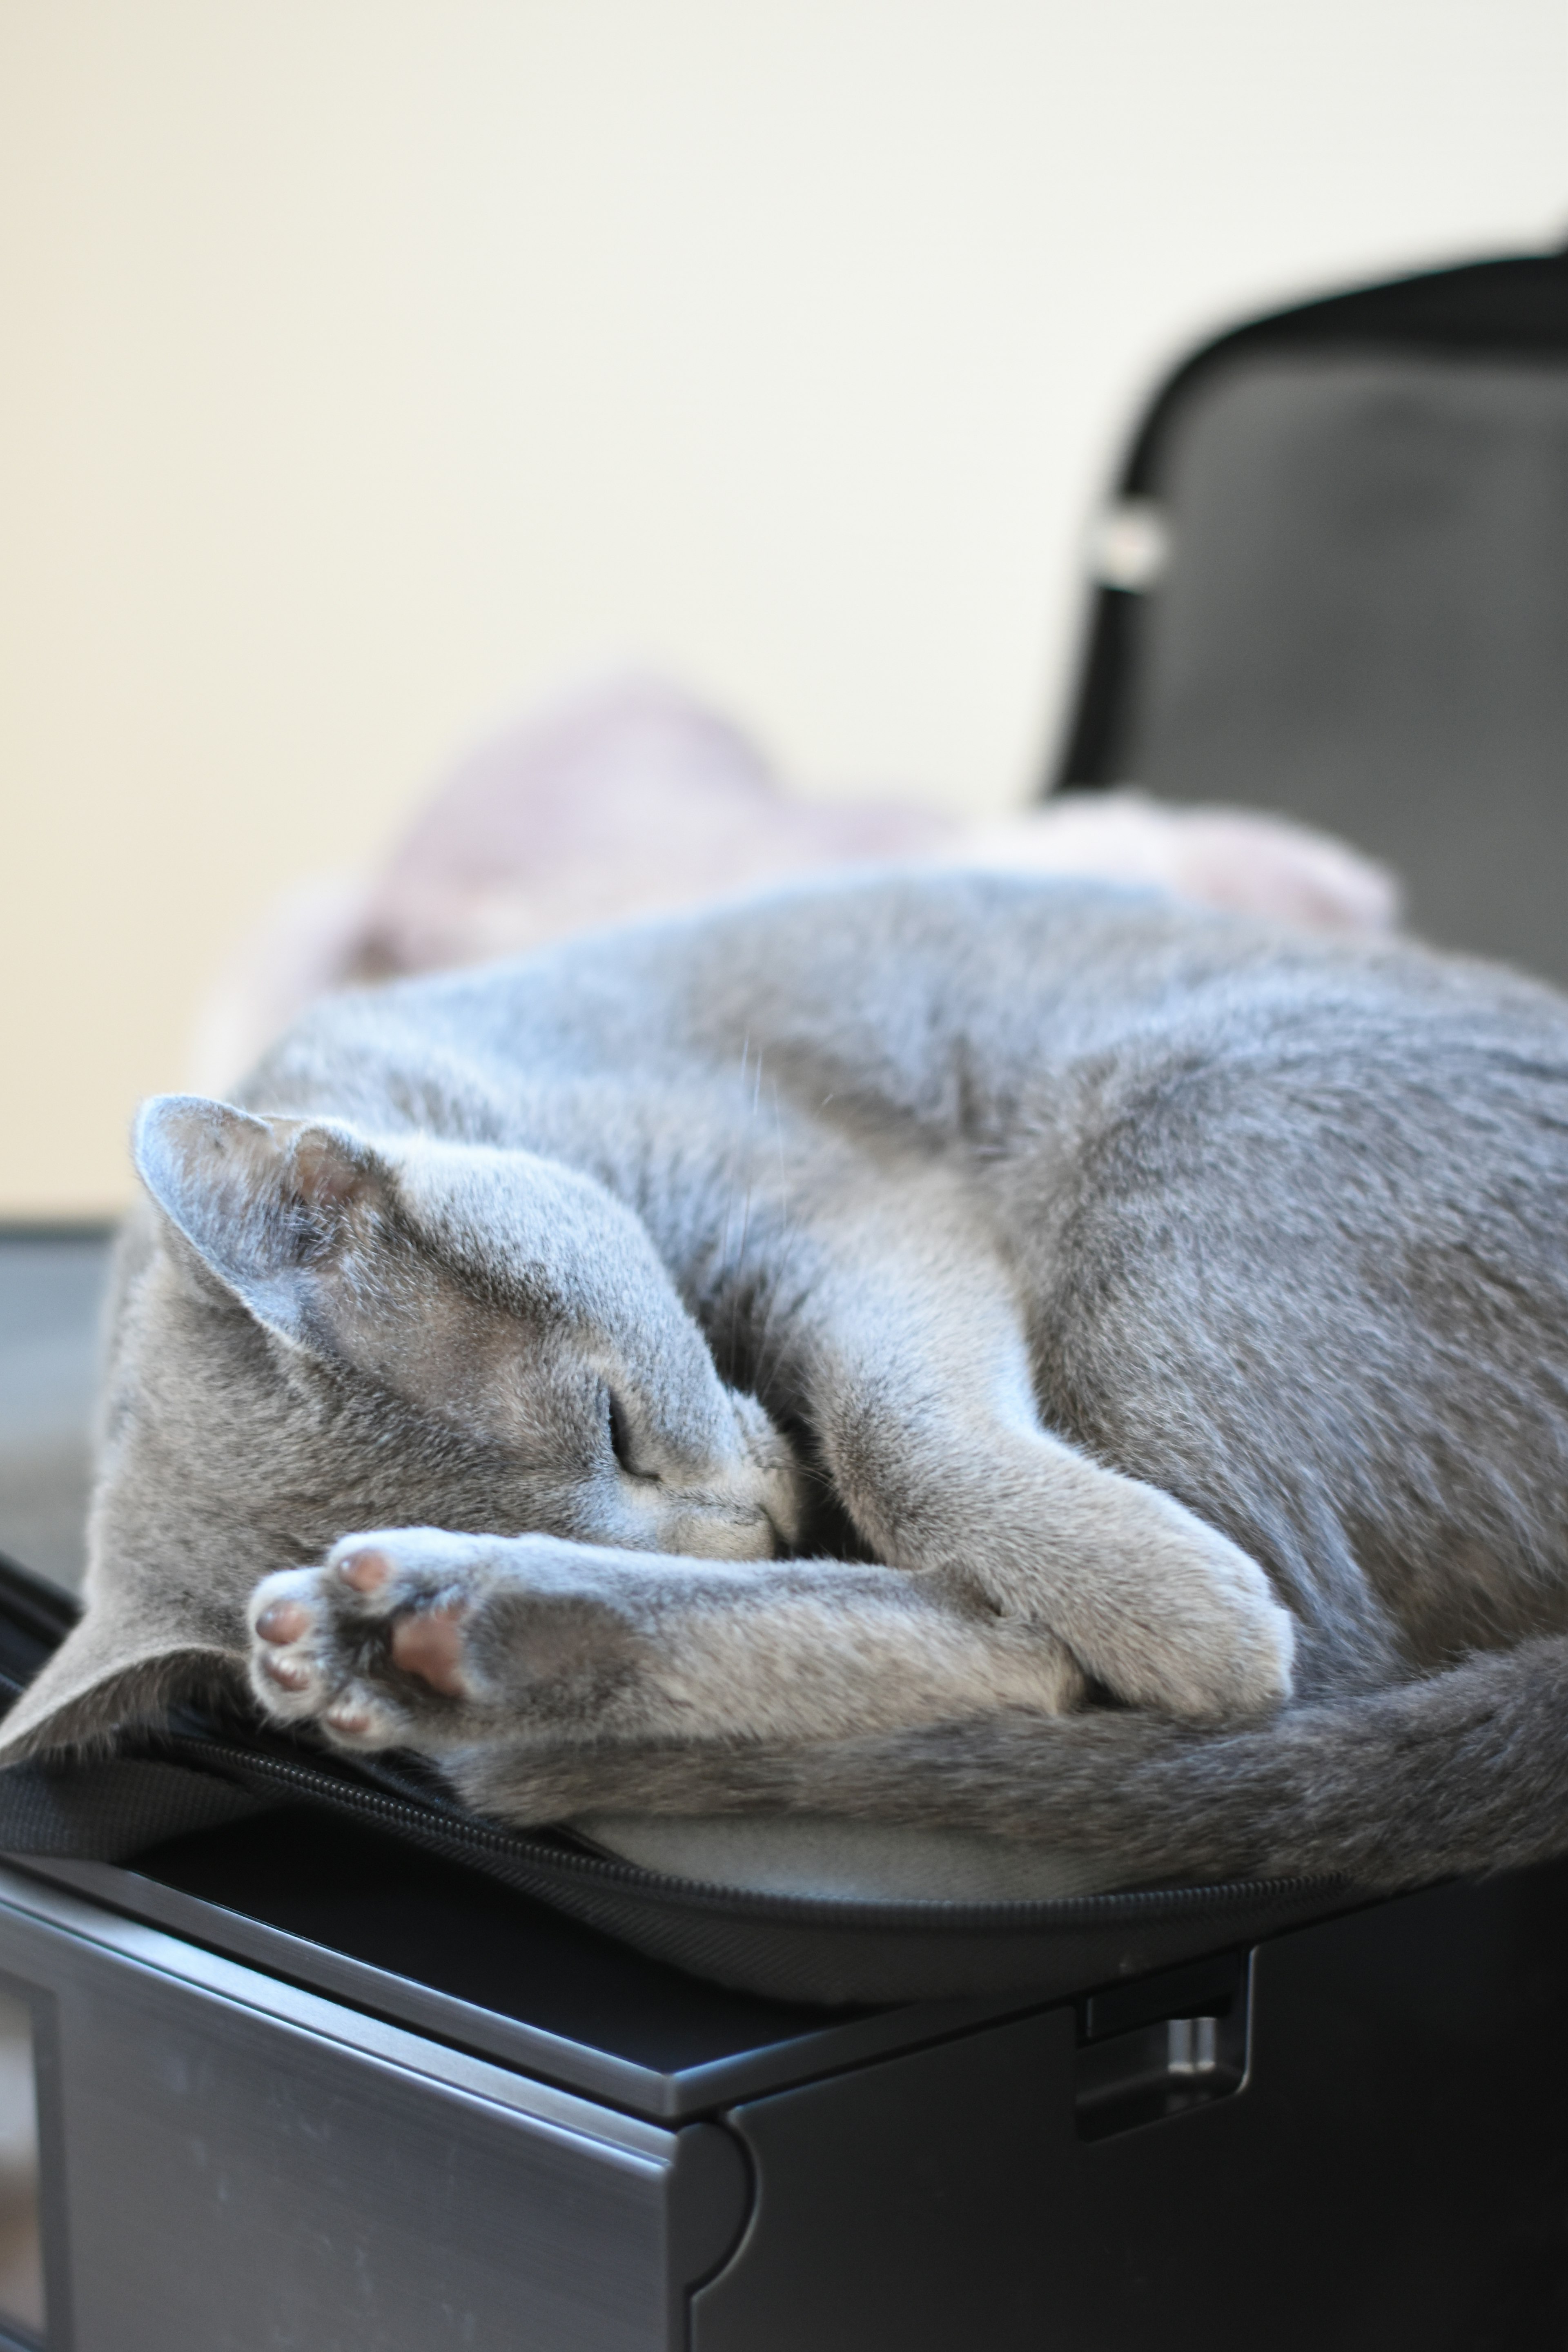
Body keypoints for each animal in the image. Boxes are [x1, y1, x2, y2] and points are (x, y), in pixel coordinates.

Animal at [9, 875, 1568, 1900]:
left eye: (614, 1428)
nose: (751, 1530)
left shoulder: (840, 1192)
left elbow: (894, 1431)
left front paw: (1163, 1607)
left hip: (1180, 1126)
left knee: (1287, 1651)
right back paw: (436, 1640)